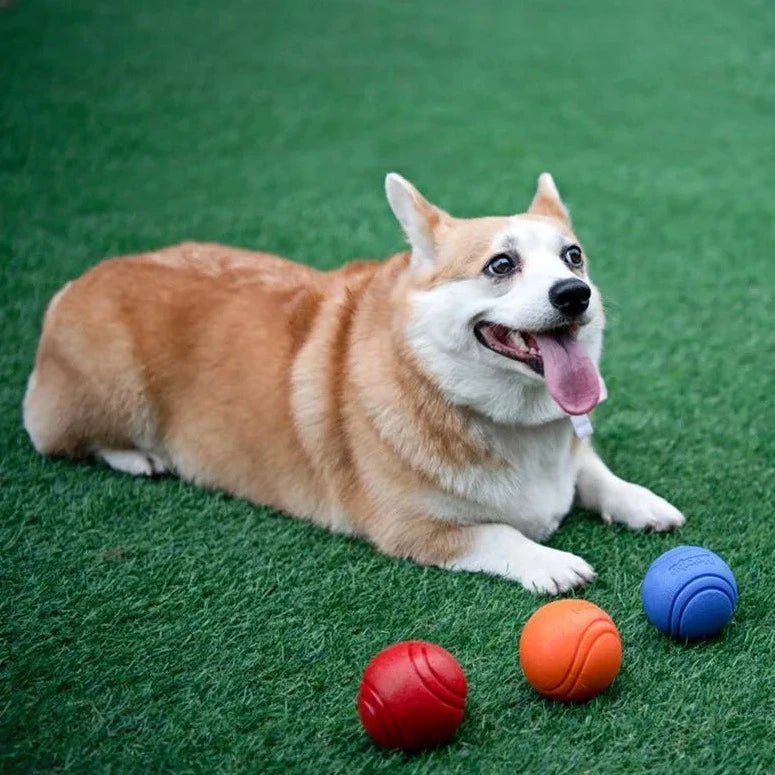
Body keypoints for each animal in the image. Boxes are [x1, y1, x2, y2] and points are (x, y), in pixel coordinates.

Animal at [21, 171, 684, 596]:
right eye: (501, 265)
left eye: (574, 257)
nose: (577, 294)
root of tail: (78, 281)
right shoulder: (410, 528)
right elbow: (497, 533)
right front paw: (551, 561)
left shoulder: (572, 453)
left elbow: (593, 473)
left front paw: (642, 502)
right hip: (108, 395)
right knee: (61, 438)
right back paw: (138, 458)